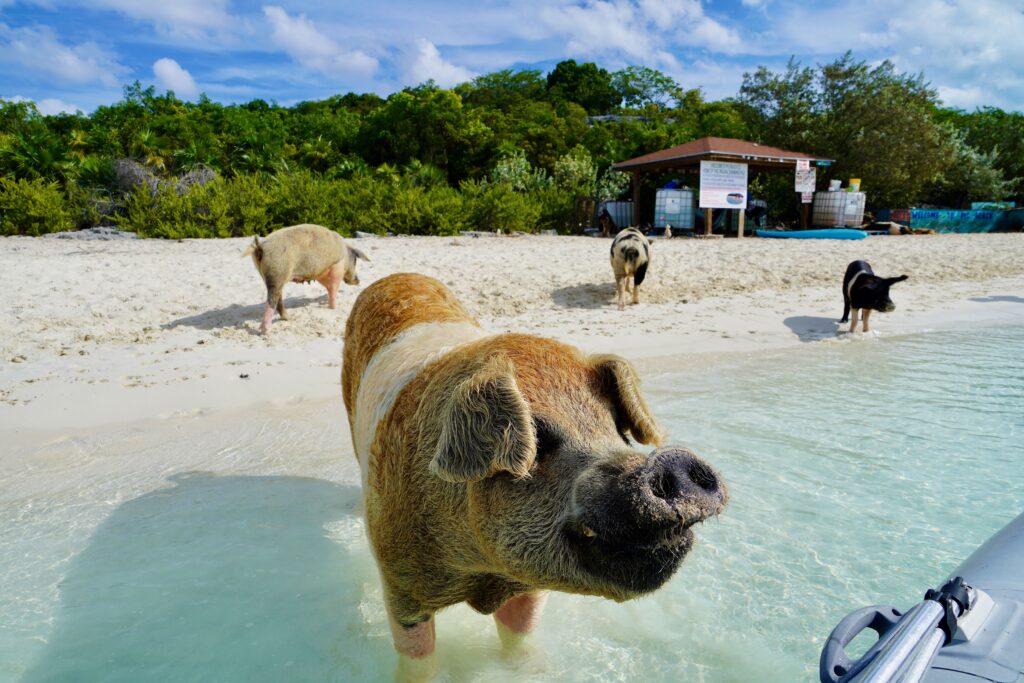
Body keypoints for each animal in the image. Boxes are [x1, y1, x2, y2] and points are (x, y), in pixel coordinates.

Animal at [341, 273, 727, 682]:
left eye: (616, 431)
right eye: (539, 440)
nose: (673, 461)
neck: (482, 572)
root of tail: (397, 278)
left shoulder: (527, 585)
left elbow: (519, 634)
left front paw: (531, 669)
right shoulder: (399, 584)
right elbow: (417, 657)